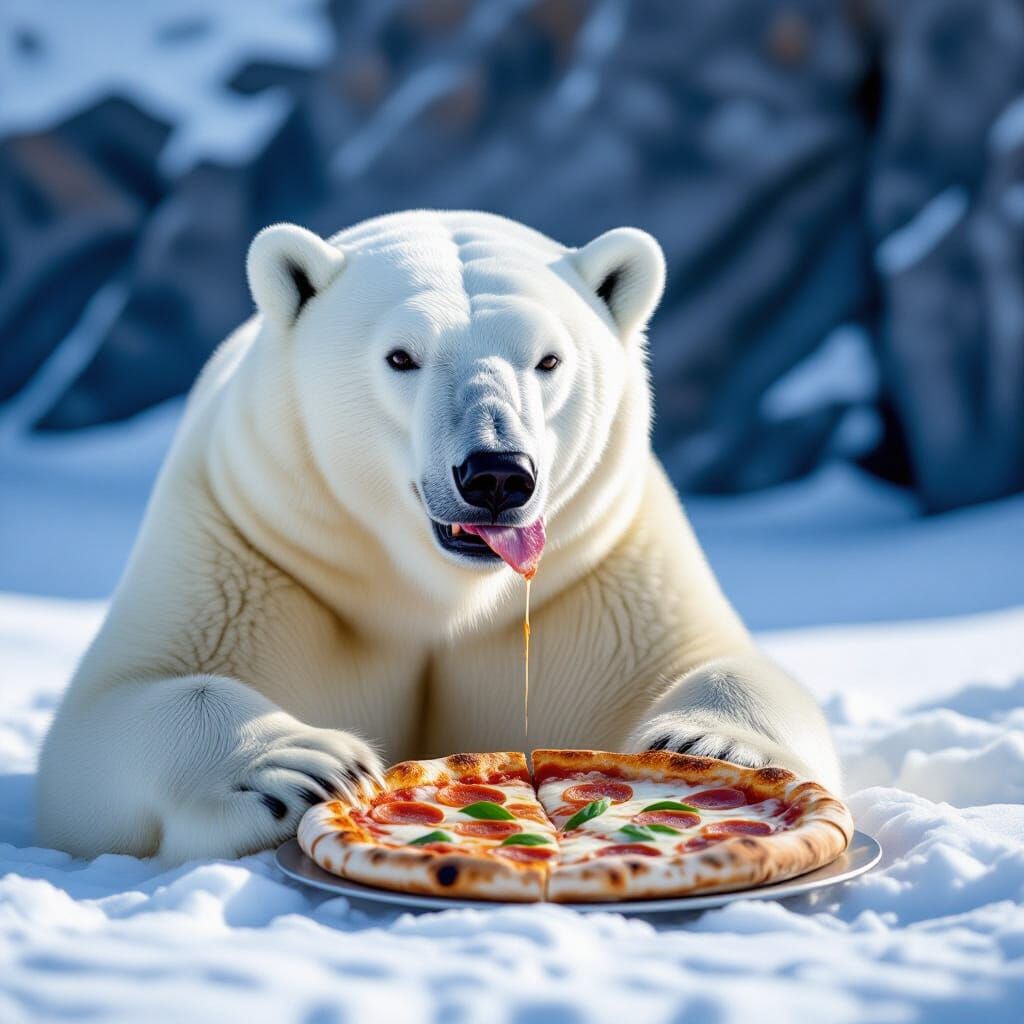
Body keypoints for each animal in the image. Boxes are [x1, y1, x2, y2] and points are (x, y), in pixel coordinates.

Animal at [36, 210, 840, 864]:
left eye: (549, 360)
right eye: (401, 356)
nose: (496, 473)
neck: (439, 591)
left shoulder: (606, 569)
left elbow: (724, 660)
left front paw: (707, 742)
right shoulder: (249, 540)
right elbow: (111, 711)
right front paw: (302, 764)